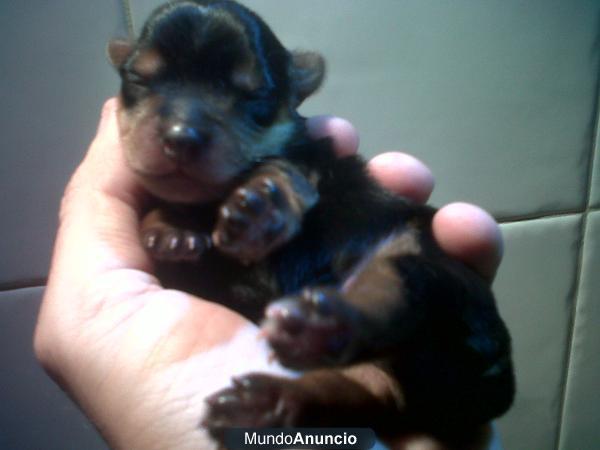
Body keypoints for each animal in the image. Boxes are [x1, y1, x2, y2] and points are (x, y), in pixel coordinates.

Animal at [109, 0, 516, 442]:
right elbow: (161, 206)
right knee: (362, 392)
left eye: (254, 94)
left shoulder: (312, 164)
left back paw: (324, 323)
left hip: (439, 273)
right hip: (385, 374)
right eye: (139, 78)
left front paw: (259, 207)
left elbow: (281, 170)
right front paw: (172, 230)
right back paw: (269, 402)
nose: (182, 135)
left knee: (398, 291)